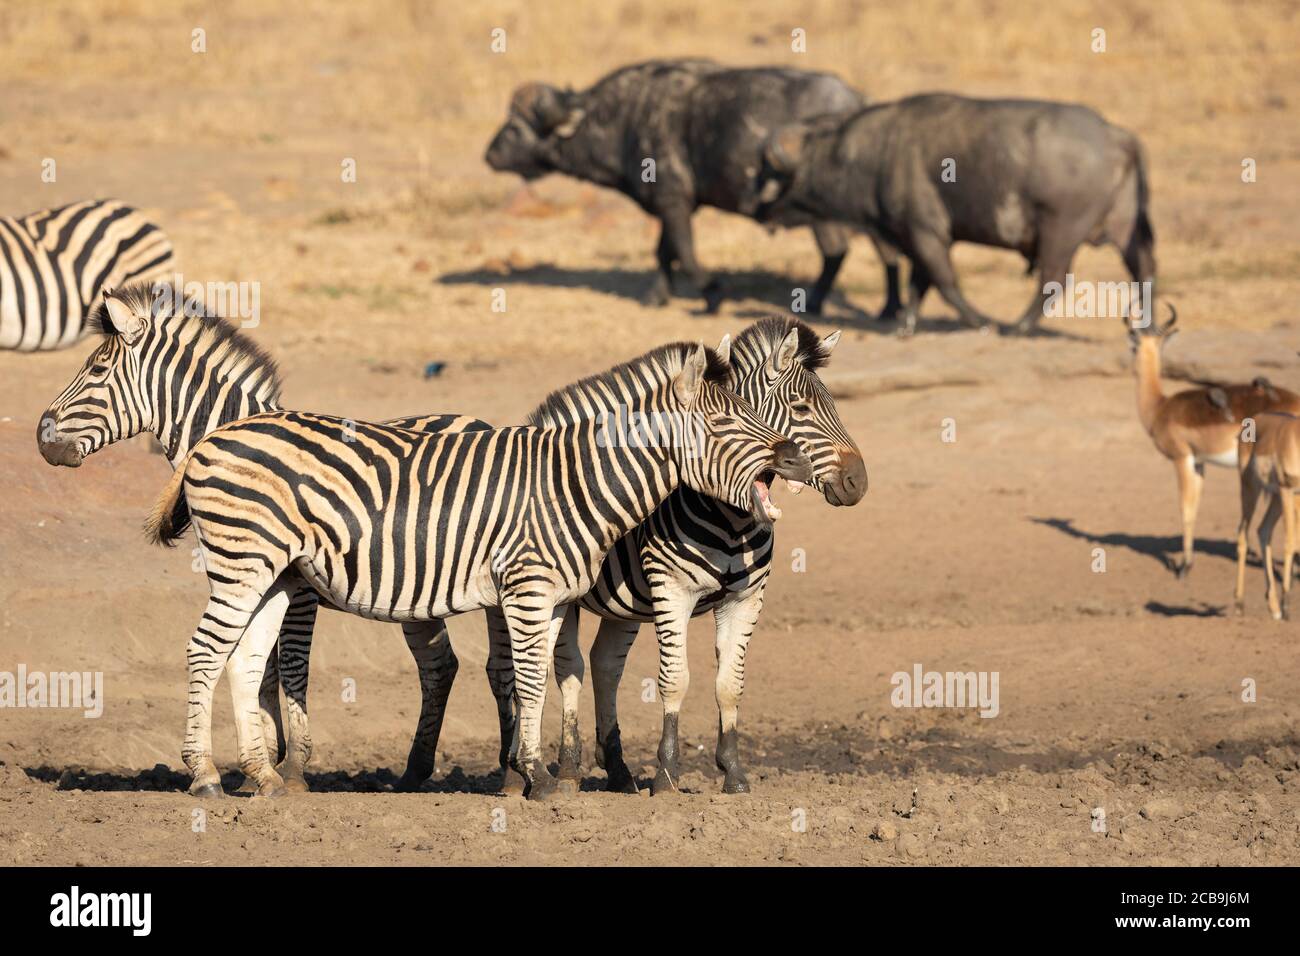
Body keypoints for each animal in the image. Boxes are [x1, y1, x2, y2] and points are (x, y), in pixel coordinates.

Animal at [38, 283, 491, 790]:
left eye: (96, 370)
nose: (41, 436)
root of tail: (475, 420)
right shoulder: (254, 577)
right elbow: (262, 665)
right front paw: (265, 760)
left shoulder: (300, 592)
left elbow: (289, 664)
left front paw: (291, 767)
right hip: (418, 596)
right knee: (439, 666)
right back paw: (415, 770)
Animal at [144, 340, 811, 796]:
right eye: (725, 422)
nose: (795, 458)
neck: (576, 483)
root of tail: (211, 438)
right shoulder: (527, 588)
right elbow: (532, 680)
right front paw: (538, 777)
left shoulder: (548, 598)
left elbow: (540, 679)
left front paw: (533, 773)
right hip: (243, 563)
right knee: (205, 651)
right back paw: (206, 777)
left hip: (273, 576)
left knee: (243, 658)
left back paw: (265, 780)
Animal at [759, 93, 1154, 332]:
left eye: (772, 172)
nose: (760, 206)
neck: (876, 155)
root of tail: (1115, 135)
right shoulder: (915, 236)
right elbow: (918, 284)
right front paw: (906, 325)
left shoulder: (926, 232)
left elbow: (945, 282)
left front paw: (980, 322)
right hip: (1125, 226)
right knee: (1144, 269)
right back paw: (1147, 325)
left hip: (1061, 229)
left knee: (1053, 278)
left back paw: (1019, 327)